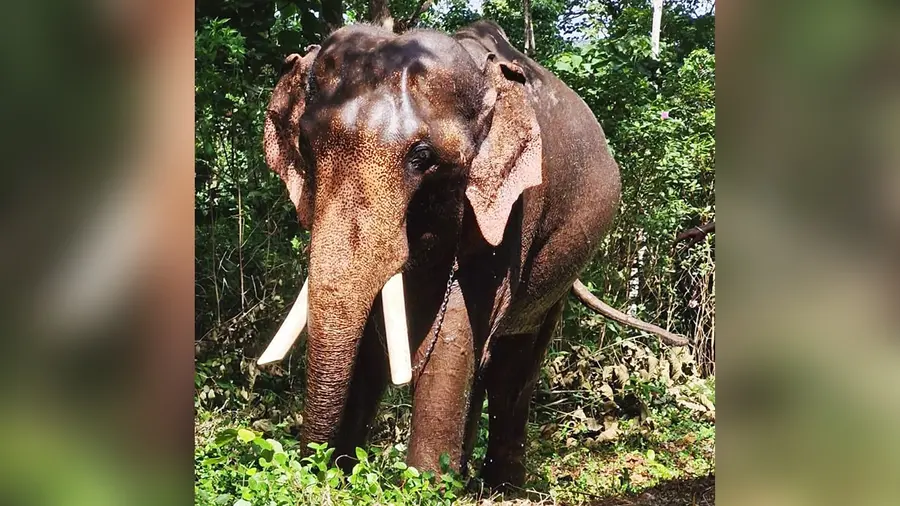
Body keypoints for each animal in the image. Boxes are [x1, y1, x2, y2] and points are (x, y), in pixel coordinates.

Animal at [258, 20, 688, 488]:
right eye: (306, 146)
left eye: (422, 157)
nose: (311, 467)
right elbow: (373, 338)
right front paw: (347, 477)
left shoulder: (513, 207)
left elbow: (459, 319)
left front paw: (426, 485)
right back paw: (467, 477)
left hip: (562, 262)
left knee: (514, 362)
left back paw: (503, 486)